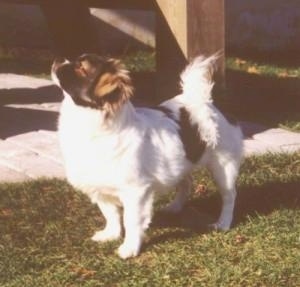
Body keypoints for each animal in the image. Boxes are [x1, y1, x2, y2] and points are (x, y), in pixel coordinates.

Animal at [51, 53, 244, 258]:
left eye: (81, 68)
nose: (58, 59)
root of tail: (204, 103)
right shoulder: (101, 188)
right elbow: (110, 214)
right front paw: (110, 235)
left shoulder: (136, 192)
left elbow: (131, 220)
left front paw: (129, 248)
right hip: (180, 164)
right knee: (186, 184)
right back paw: (174, 207)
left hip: (224, 167)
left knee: (229, 196)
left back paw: (223, 223)